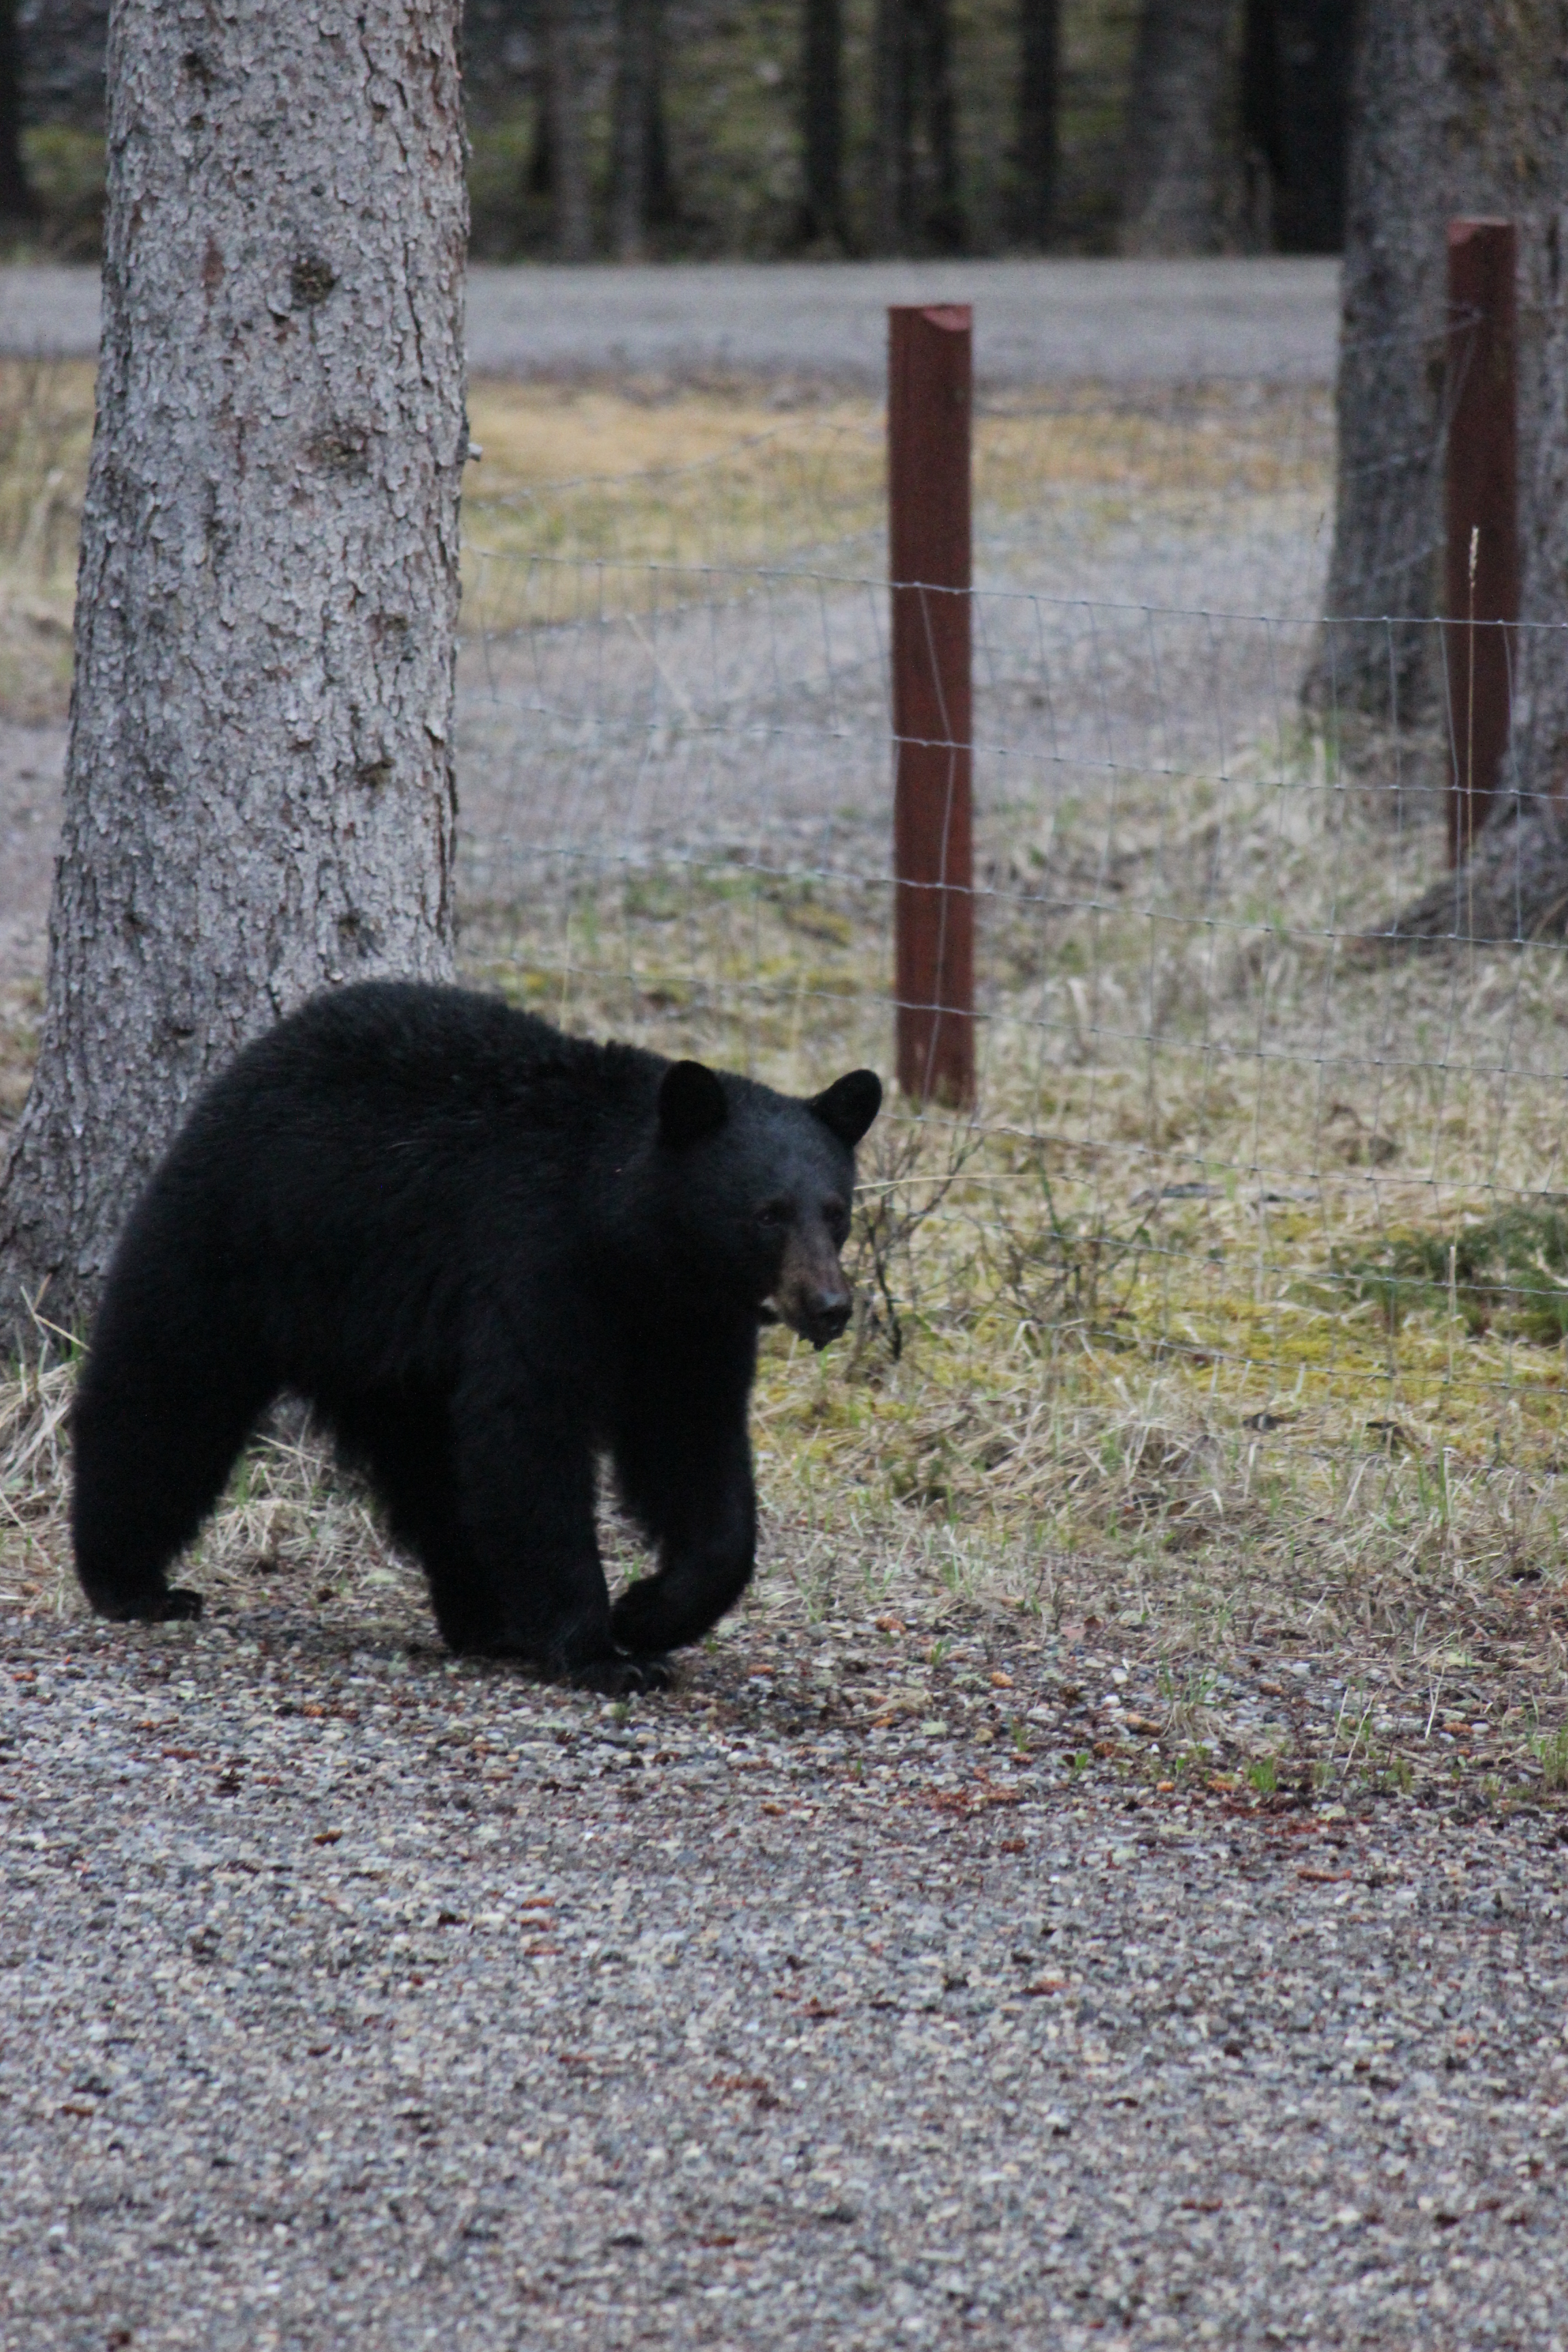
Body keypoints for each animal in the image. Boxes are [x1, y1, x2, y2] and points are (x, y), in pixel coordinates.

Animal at [70, 979, 881, 1692]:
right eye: (767, 1213)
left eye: (837, 1211)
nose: (829, 1306)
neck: (633, 1245)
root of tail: (251, 1060)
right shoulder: (537, 1266)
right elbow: (528, 1434)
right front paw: (602, 1653)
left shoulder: (691, 1326)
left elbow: (698, 1456)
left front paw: (650, 1612)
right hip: (238, 1242)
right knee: (166, 1396)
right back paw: (130, 1581)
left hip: (389, 1348)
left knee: (433, 1473)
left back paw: (487, 1621)